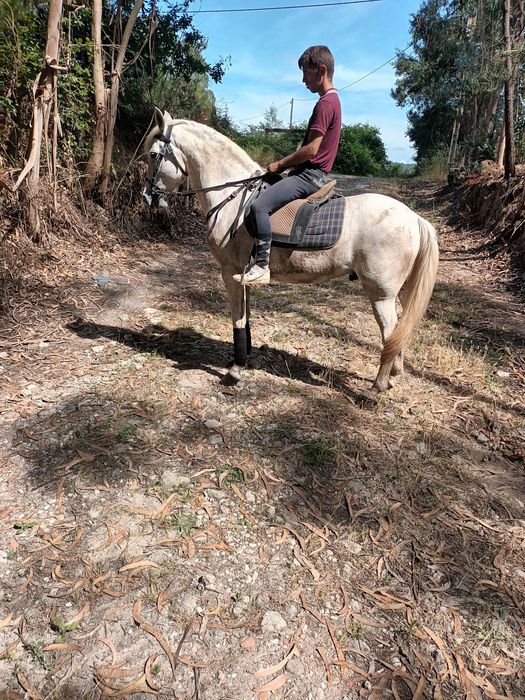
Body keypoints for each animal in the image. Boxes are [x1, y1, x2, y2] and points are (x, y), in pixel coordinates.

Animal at [143, 108, 439, 393]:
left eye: (154, 155)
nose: (148, 197)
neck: (233, 198)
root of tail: (414, 218)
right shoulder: (242, 275)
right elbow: (246, 320)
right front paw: (243, 359)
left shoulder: (230, 272)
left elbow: (238, 320)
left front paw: (235, 370)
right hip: (394, 292)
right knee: (399, 330)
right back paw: (393, 376)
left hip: (380, 293)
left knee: (389, 332)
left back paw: (377, 387)